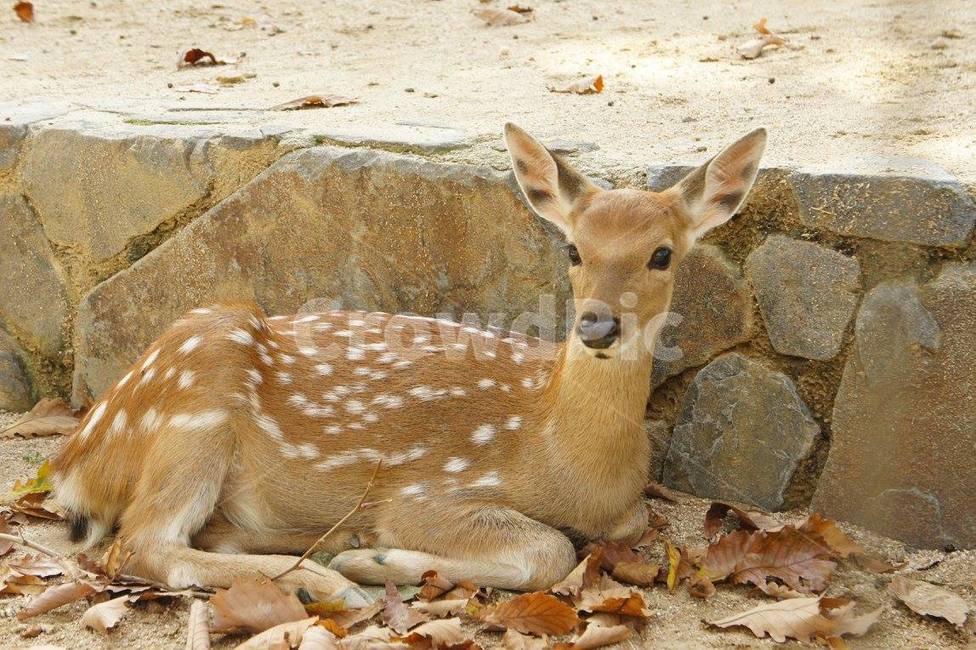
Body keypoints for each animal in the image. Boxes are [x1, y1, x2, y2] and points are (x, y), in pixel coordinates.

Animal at [51, 124, 766, 607]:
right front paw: (380, 557)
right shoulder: (423, 492)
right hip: (197, 404)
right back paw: (327, 582)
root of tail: (74, 459)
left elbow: (626, 521)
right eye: (572, 248)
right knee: (137, 543)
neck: (560, 449)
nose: (597, 324)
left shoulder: (626, 508)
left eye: (662, 254)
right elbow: (549, 548)